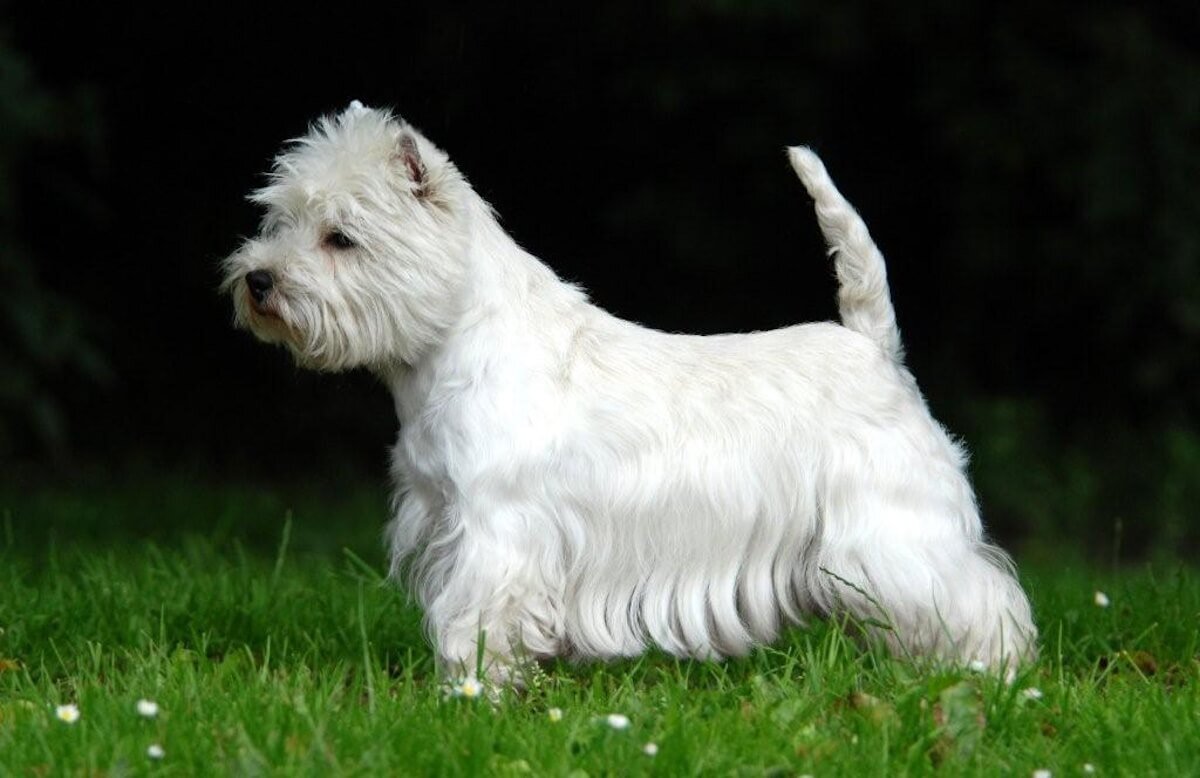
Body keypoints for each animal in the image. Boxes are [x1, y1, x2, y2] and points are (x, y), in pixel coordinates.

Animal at [226, 102, 1041, 681]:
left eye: (341, 237)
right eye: (279, 219)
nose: (258, 281)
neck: (447, 345)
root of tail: (874, 347)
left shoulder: (498, 531)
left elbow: (476, 620)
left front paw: (469, 696)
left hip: (893, 530)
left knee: (978, 598)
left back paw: (995, 677)